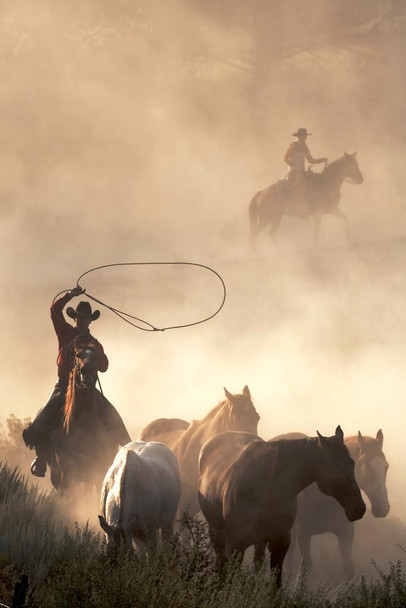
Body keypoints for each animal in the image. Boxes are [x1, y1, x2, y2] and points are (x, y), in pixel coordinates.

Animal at [198, 426, 366, 588]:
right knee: (222, 562)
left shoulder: (281, 540)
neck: (266, 485)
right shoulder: (236, 543)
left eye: (352, 463)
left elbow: (276, 582)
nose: (359, 508)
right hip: (217, 533)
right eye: (335, 468)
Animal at [294, 430, 390, 576]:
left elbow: (348, 568)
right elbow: (305, 567)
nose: (383, 508)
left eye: (386, 467)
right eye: (366, 465)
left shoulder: (346, 533)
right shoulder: (303, 534)